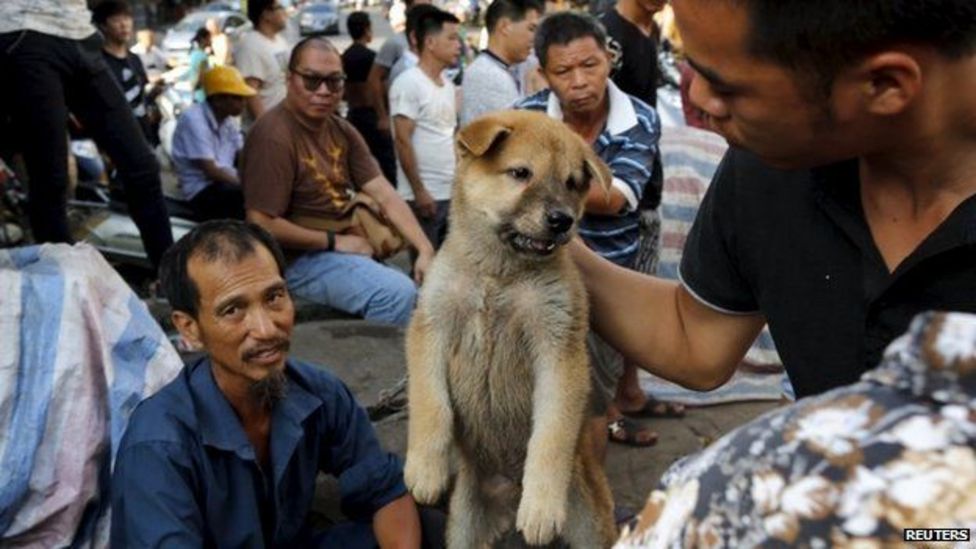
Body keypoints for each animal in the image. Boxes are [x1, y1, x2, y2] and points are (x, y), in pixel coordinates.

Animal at [404, 109, 616, 544]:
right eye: (521, 173)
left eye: (572, 183)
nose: (562, 220)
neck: (498, 275)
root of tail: (507, 493)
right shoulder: (430, 327)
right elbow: (430, 404)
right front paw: (426, 469)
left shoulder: (558, 347)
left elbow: (551, 434)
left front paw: (541, 505)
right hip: (465, 527)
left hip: (589, 525)